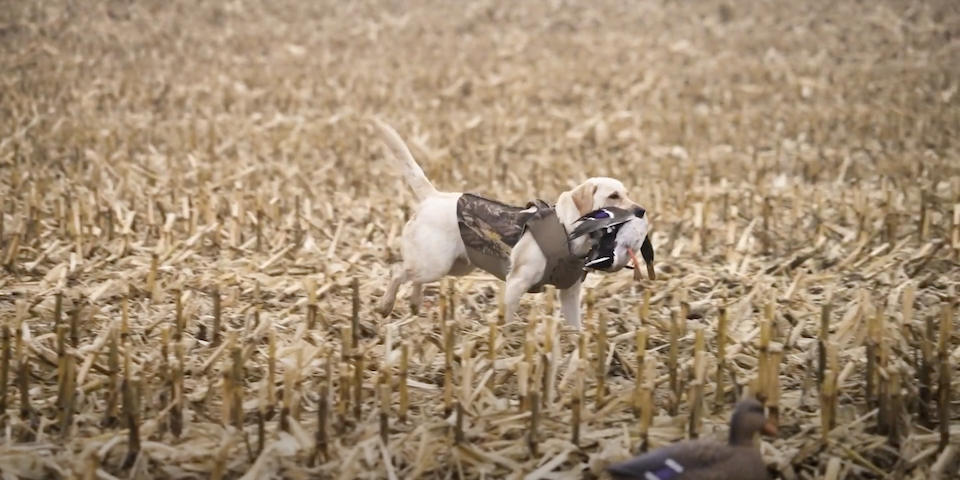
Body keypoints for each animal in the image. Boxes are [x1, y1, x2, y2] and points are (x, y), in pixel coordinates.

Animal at [372, 119, 648, 330]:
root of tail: (434, 196)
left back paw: (414, 303)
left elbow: (575, 326)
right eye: (614, 196)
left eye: (627, 193)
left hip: (456, 265)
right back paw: (386, 306)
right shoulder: (516, 283)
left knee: (413, 277)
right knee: (398, 271)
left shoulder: (569, 293)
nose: (641, 210)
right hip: (435, 264)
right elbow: (506, 319)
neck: (568, 231)